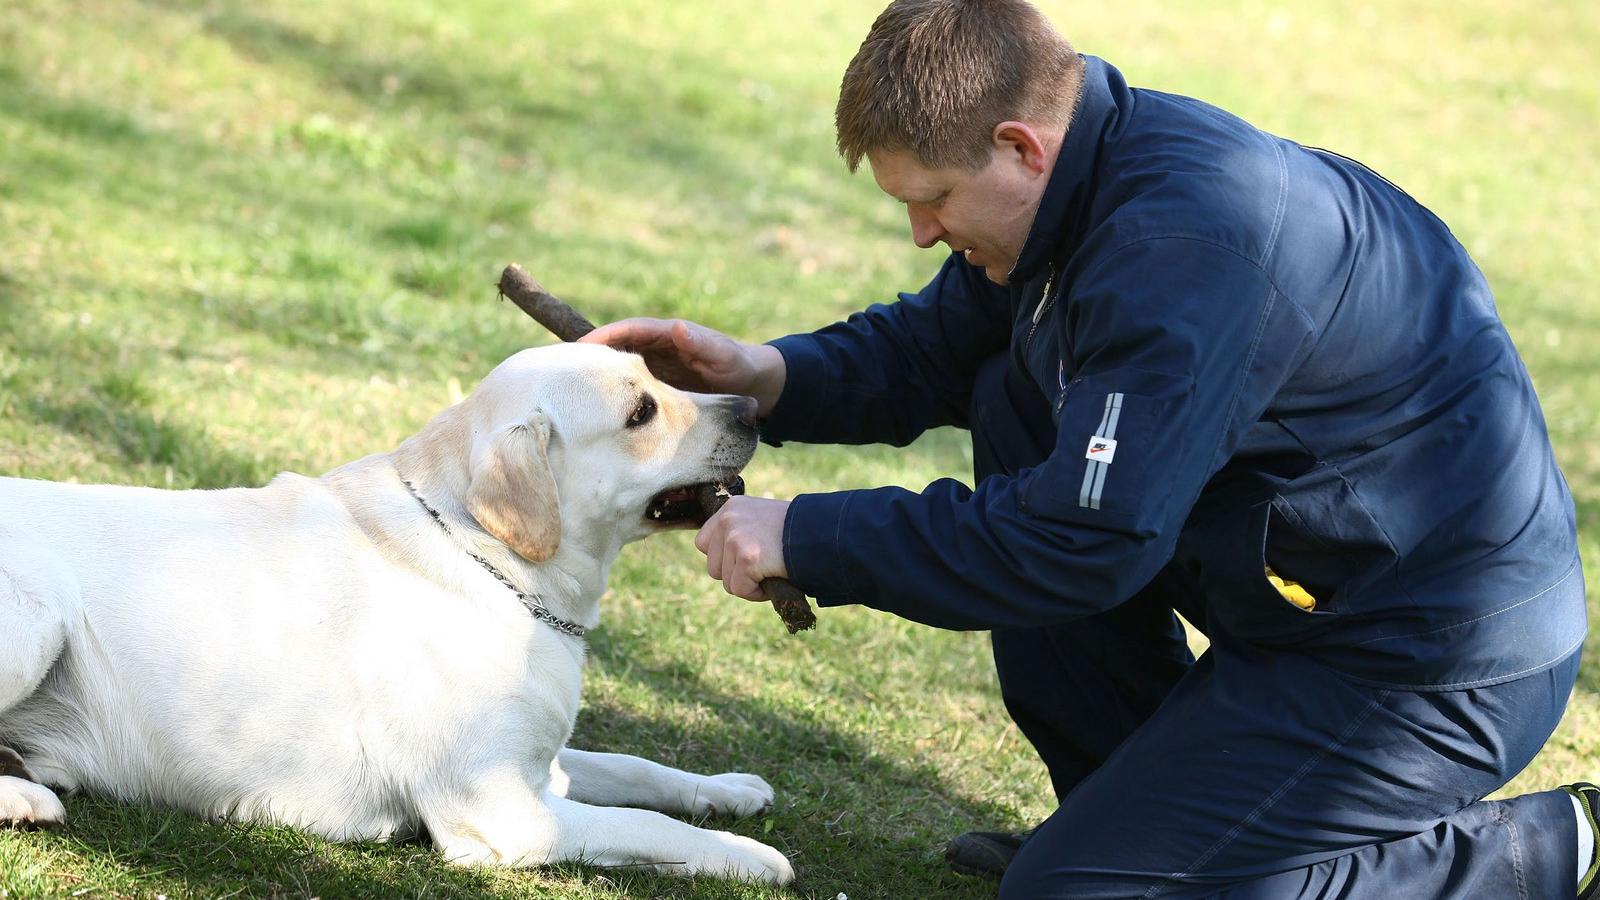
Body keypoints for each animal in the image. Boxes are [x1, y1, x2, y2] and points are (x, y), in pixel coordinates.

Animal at [0, 342, 796, 883]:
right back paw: (26, 798)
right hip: (40, 610)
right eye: (641, 412)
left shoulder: (539, 767)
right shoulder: (505, 809)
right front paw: (749, 857)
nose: (752, 409)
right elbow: (647, 824)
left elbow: (638, 770)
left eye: (657, 373)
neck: (483, 556)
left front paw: (727, 791)